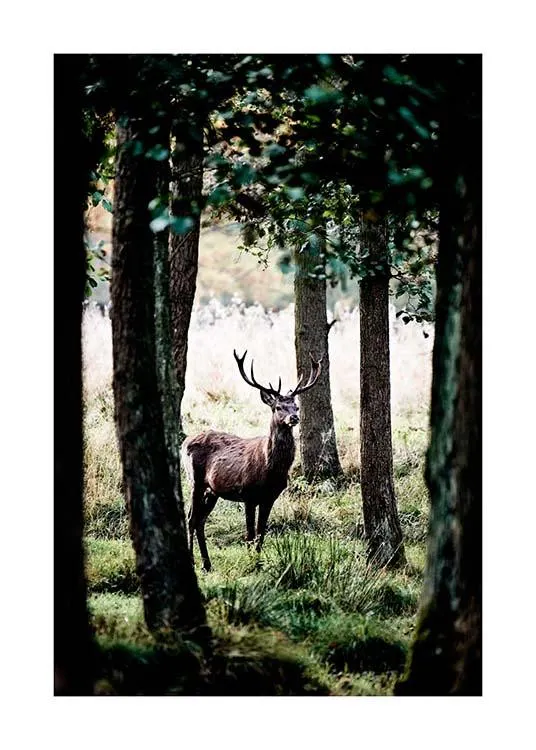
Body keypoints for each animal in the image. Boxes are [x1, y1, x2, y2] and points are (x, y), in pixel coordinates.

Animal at [181, 349, 322, 572]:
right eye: (278, 407)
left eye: (296, 406)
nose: (294, 418)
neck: (270, 470)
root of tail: (184, 442)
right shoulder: (247, 493)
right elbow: (249, 534)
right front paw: (251, 564)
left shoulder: (269, 497)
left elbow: (261, 533)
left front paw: (258, 562)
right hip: (195, 481)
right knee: (191, 519)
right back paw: (194, 561)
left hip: (212, 491)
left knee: (201, 520)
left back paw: (207, 564)